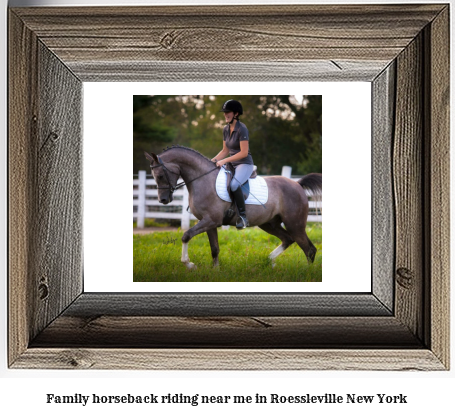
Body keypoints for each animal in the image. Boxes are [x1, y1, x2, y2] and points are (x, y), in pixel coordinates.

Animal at [144, 145, 322, 270]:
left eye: (160, 175)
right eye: (154, 176)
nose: (163, 200)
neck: (203, 179)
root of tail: (297, 184)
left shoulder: (211, 220)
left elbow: (186, 236)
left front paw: (189, 264)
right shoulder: (209, 223)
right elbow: (214, 248)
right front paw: (215, 271)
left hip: (295, 225)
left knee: (309, 249)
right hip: (269, 224)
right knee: (288, 240)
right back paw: (269, 261)